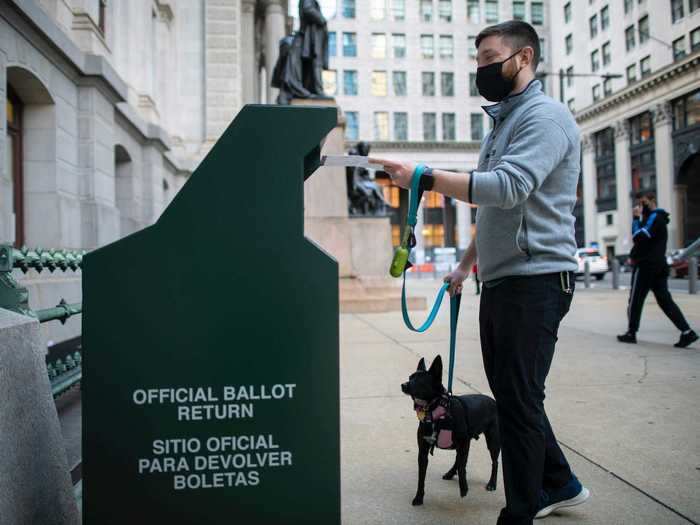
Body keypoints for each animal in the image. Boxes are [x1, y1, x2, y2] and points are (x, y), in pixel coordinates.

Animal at [402, 354, 500, 506]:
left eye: (420, 381)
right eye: (410, 377)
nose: (403, 385)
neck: (435, 411)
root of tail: (493, 400)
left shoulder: (464, 442)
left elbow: (462, 465)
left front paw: (464, 488)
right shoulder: (423, 452)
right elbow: (421, 478)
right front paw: (419, 497)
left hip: (492, 440)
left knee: (494, 462)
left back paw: (491, 484)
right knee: (459, 458)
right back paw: (450, 473)